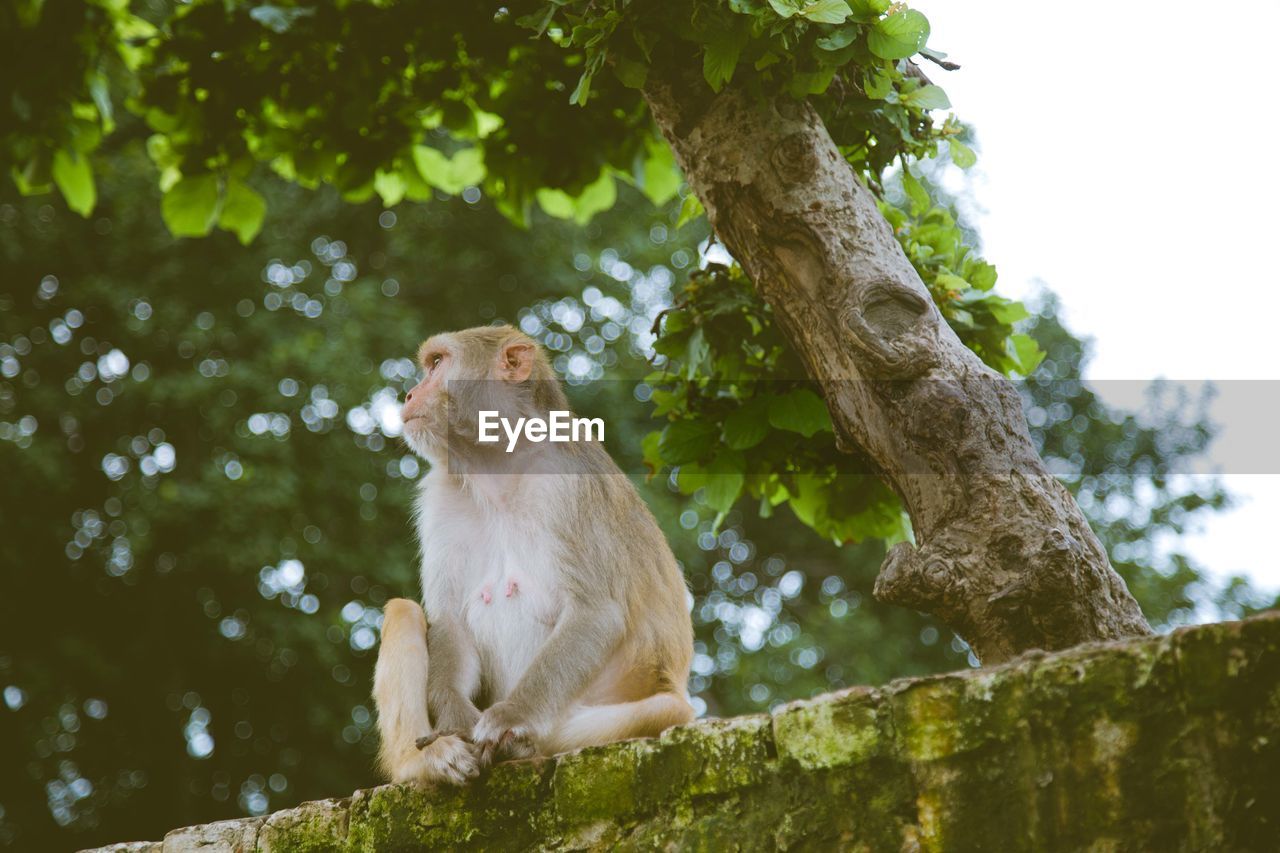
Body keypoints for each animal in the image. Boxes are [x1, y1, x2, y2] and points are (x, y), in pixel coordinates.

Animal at [373, 324, 691, 783]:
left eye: (436, 363)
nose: (411, 394)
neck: (500, 466)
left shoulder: (569, 481)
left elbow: (597, 611)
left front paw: (510, 719)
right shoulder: (442, 495)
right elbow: (450, 622)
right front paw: (455, 719)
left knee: (670, 711)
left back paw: (526, 745)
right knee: (403, 610)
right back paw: (424, 762)